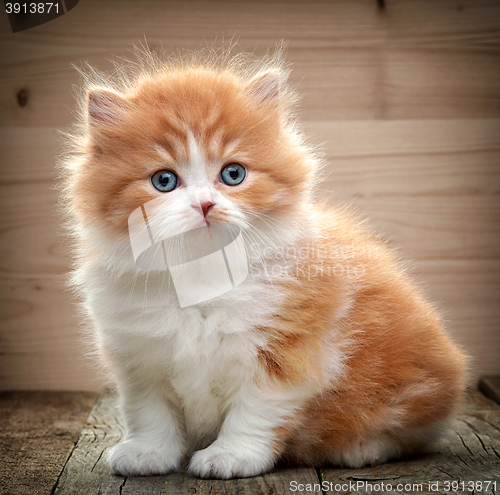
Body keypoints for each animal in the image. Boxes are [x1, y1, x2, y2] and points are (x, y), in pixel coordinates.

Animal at [59, 48, 468, 478]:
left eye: (233, 174)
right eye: (164, 181)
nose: (205, 205)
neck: (202, 275)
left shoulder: (287, 351)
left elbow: (253, 412)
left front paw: (230, 457)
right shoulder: (139, 357)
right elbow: (149, 412)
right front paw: (147, 454)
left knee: (408, 432)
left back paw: (359, 448)